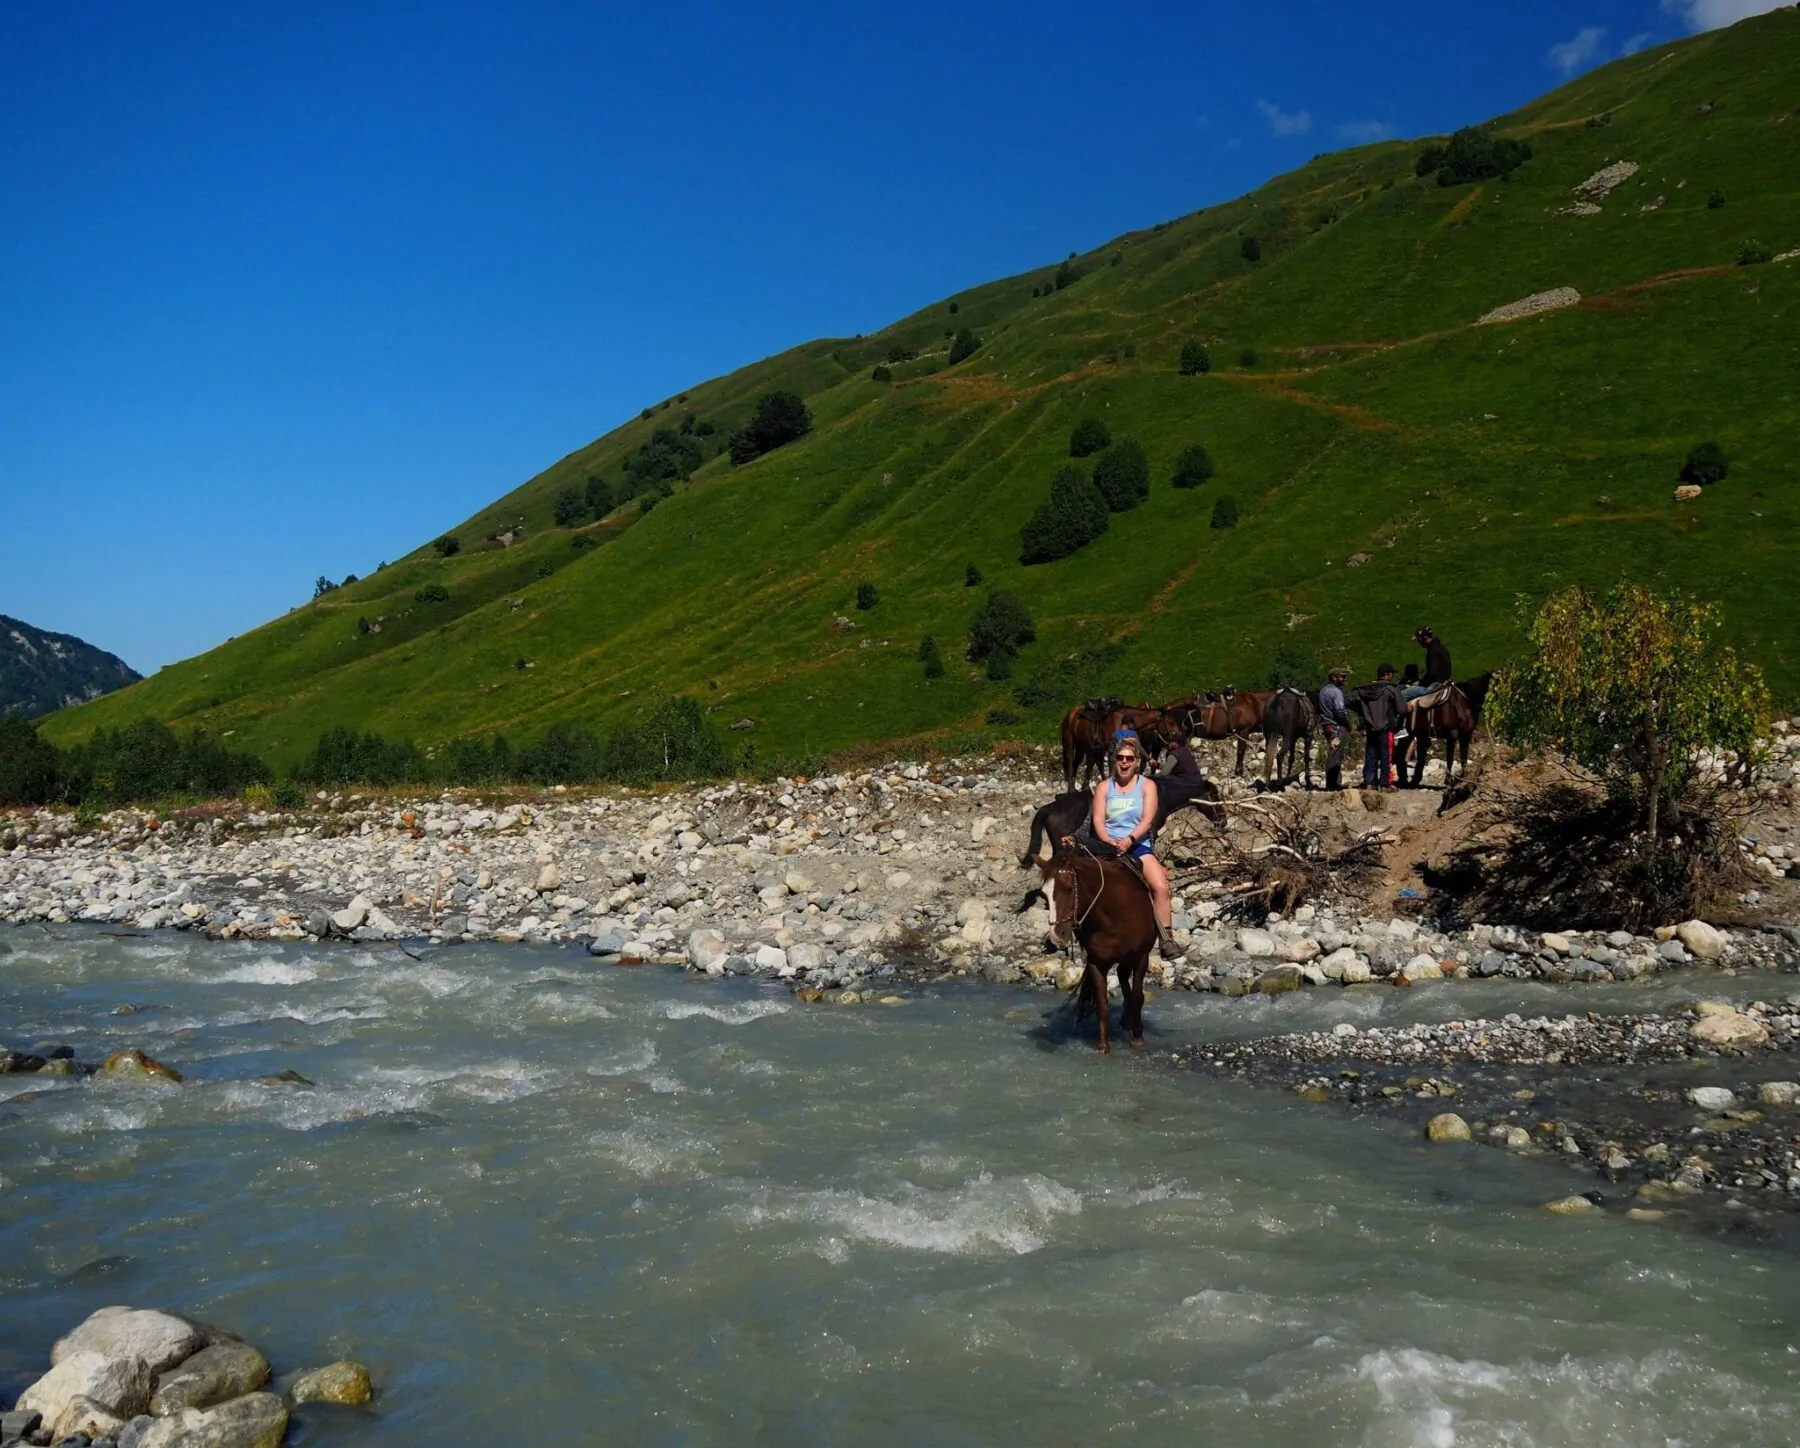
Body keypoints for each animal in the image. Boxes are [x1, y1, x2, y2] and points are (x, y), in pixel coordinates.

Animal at [1036, 835, 1159, 1051]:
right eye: (1044, 895)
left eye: (1068, 888)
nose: (1056, 937)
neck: (1115, 913)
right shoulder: (1096, 962)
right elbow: (1102, 1004)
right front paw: (1103, 1048)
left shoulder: (1141, 957)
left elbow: (1138, 996)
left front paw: (1137, 1037)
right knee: (1121, 975)